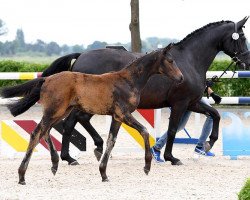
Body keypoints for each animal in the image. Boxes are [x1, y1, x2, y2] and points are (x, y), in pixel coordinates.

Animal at [0, 44, 183, 184]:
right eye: (170, 60)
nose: (181, 78)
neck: (128, 81)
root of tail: (47, 79)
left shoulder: (117, 117)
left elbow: (111, 141)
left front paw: (103, 173)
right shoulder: (123, 114)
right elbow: (144, 131)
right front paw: (146, 166)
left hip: (60, 111)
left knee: (46, 132)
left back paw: (54, 164)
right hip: (54, 111)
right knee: (36, 133)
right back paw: (22, 175)